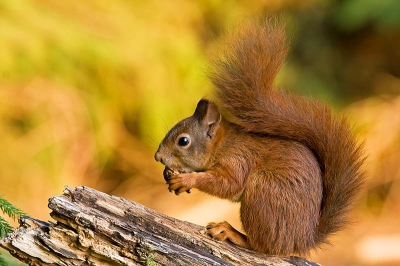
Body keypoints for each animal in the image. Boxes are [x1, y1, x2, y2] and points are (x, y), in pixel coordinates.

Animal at [154, 18, 366, 256]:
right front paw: (169, 173)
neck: (223, 145)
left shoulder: (239, 159)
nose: (157, 156)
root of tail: (301, 240)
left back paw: (231, 232)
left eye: (183, 141)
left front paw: (187, 179)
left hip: (263, 194)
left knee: (262, 246)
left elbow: (228, 184)